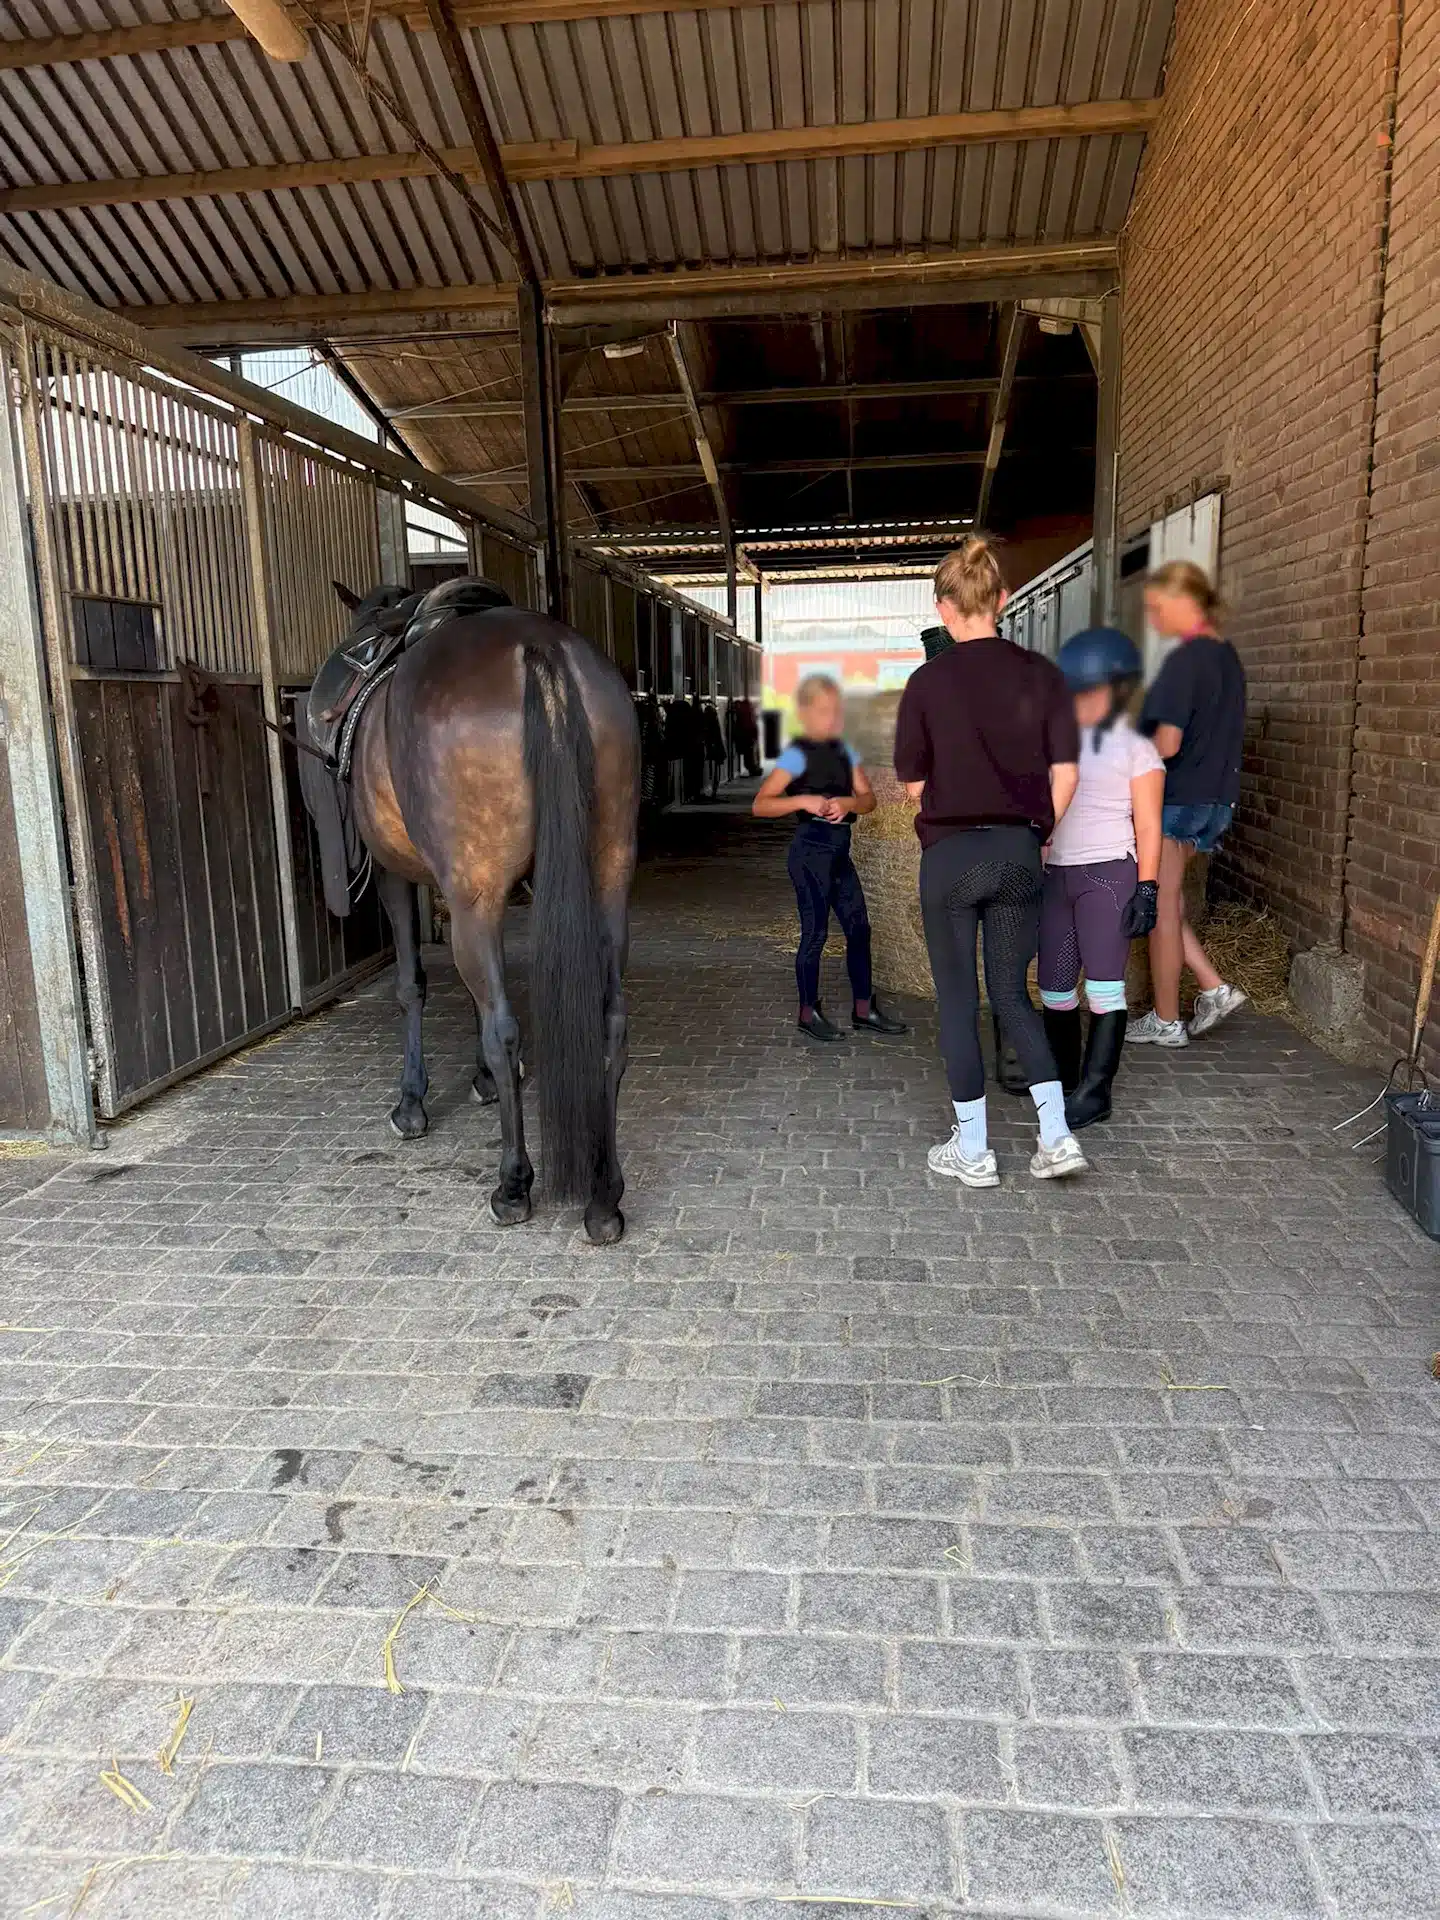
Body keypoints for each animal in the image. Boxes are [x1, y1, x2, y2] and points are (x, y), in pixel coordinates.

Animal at [320, 580, 640, 1246]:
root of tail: (540, 649)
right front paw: (484, 1083)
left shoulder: (398, 877)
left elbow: (412, 986)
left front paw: (411, 1104)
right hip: (608, 880)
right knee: (610, 1023)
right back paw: (604, 1198)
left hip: (475, 894)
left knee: (505, 1028)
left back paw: (513, 1185)